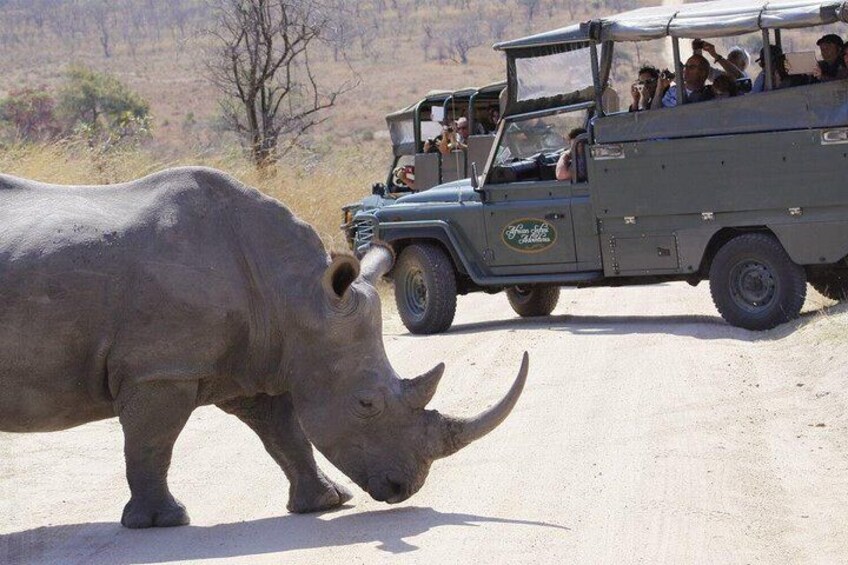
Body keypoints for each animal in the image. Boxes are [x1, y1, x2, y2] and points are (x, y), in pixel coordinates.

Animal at [0, 165, 528, 528]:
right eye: (366, 404)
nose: (405, 488)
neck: (294, 295)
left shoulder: (259, 358)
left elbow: (286, 434)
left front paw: (326, 502)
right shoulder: (161, 367)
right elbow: (152, 444)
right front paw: (163, 522)